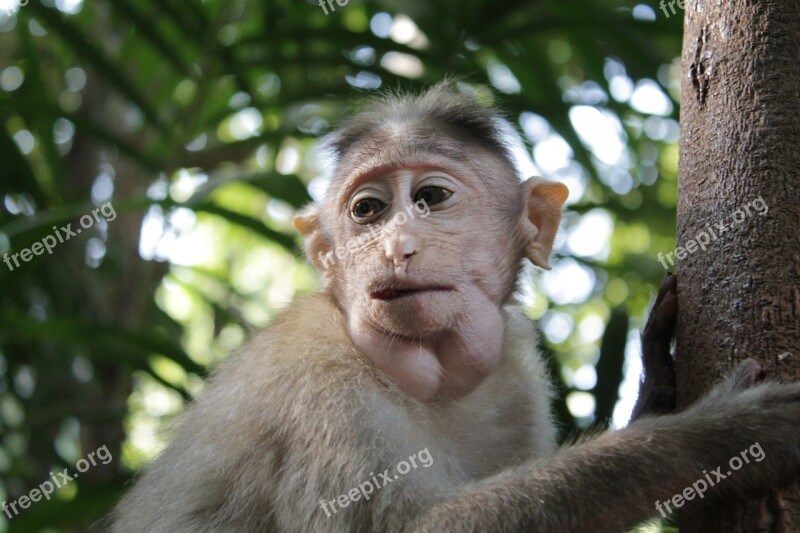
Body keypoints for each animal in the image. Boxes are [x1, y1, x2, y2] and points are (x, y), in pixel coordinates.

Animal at [112, 82, 800, 528]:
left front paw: (657, 386)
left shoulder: (516, 370)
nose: (396, 246)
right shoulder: (313, 383)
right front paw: (712, 438)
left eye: (432, 198)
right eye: (368, 210)